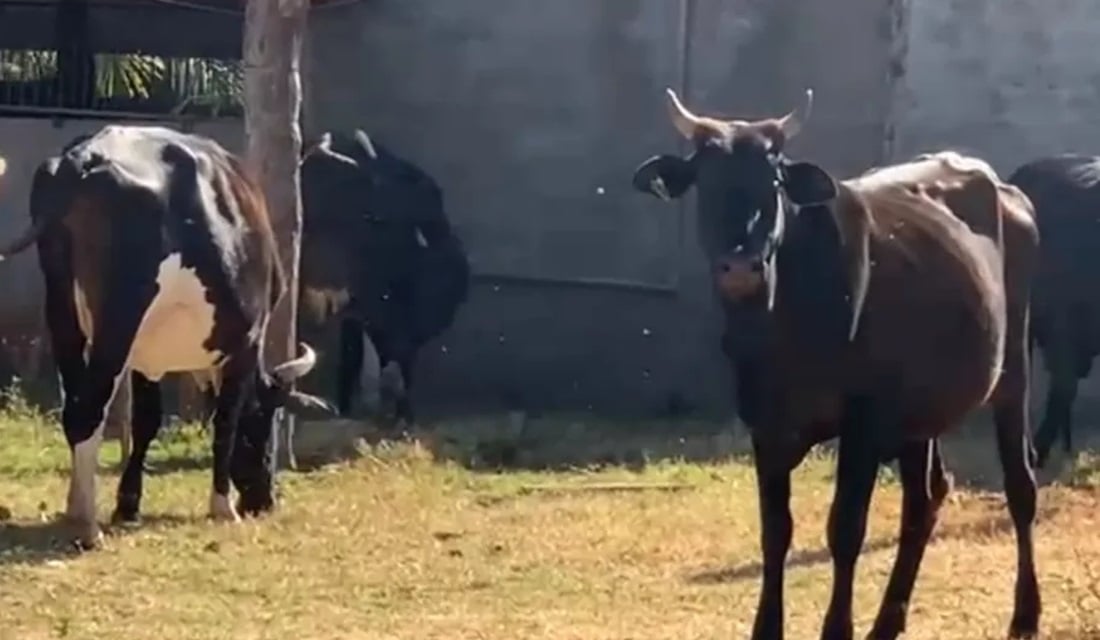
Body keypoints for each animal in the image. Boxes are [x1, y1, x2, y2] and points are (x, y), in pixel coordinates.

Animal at [0, 125, 335, 550]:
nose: (263, 501)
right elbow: (225, 422)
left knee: (74, 407)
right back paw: (88, 526)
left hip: (62, 312)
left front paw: (128, 504)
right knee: (89, 409)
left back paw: (75, 509)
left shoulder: (147, 358)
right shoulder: (244, 344)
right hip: (118, 322)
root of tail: (85, 157)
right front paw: (222, 505)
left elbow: (147, 421)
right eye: (265, 420)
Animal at [630, 89, 1041, 639]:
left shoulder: (863, 424)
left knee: (1020, 487)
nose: (740, 267)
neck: (783, 322)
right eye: (706, 181)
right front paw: (767, 628)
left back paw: (1025, 613)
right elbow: (775, 531)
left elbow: (845, 529)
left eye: (773, 180)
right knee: (924, 499)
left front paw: (836, 628)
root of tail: (1001, 187)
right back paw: (888, 621)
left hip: (1011, 373)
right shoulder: (766, 425)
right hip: (921, 413)